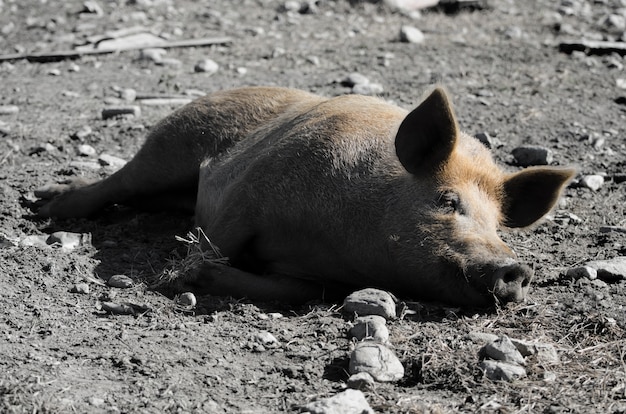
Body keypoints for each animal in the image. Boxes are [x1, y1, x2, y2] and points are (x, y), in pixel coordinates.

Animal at [36, 86, 576, 308]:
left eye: (498, 225)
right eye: (447, 200)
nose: (515, 268)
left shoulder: (315, 279)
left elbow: (291, 290)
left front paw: (202, 278)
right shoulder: (251, 190)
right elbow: (213, 241)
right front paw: (175, 280)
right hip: (169, 145)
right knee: (118, 183)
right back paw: (43, 205)